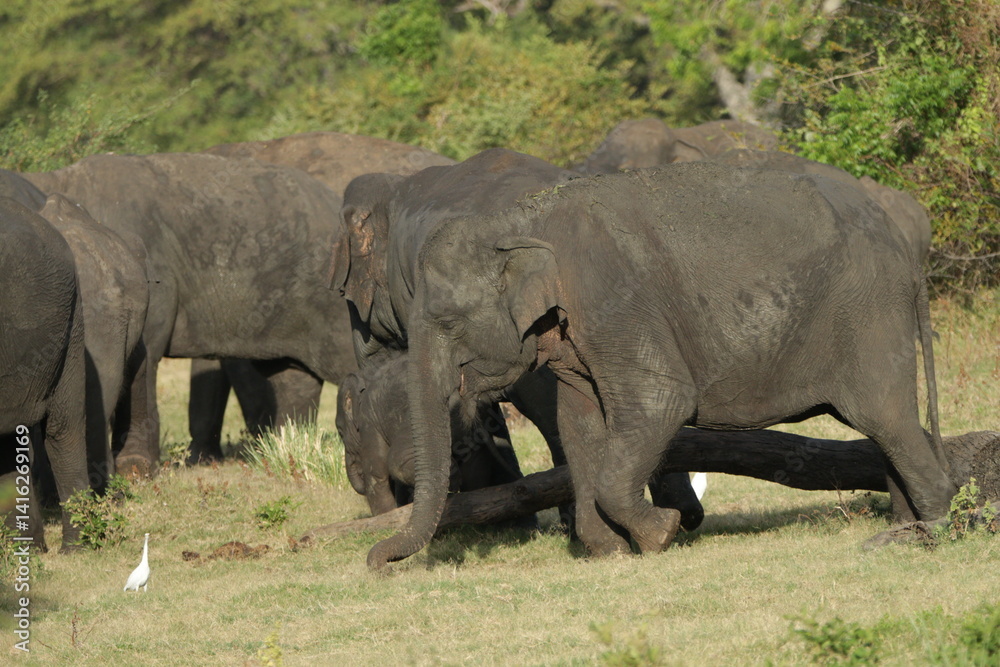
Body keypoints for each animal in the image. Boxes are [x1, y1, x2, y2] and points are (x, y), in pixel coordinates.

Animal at [337, 351, 526, 516]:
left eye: (339, 431)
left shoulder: (368, 421)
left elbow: (376, 472)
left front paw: (384, 518)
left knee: (399, 461)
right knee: (475, 468)